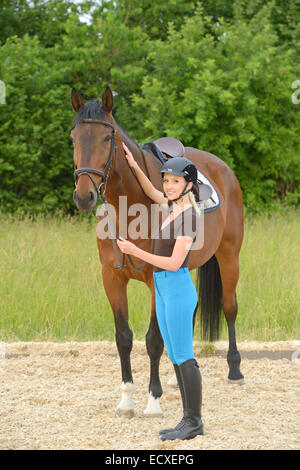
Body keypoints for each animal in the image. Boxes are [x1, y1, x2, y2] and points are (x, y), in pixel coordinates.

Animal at [71, 86, 245, 416]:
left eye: (106, 138)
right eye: (73, 137)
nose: (84, 196)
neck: (132, 207)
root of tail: (224, 169)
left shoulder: (157, 278)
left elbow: (153, 339)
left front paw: (153, 400)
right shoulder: (112, 279)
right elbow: (123, 338)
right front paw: (126, 400)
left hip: (229, 256)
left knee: (230, 307)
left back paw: (235, 369)